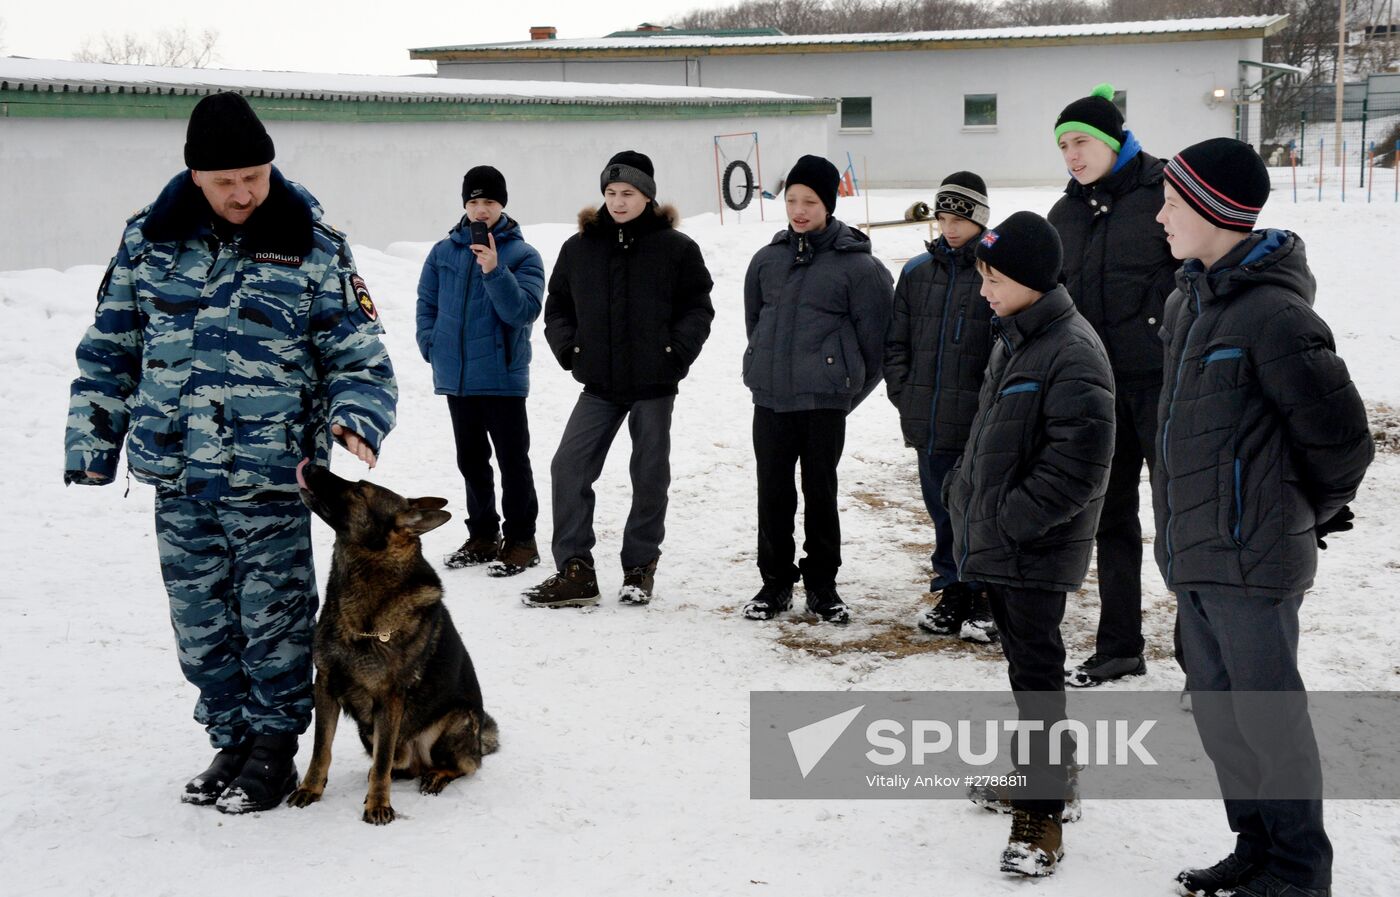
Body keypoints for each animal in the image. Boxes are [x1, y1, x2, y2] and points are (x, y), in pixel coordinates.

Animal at [287, 464, 501, 822]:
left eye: (360, 490)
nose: (312, 465)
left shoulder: (390, 699)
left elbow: (383, 759)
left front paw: (378, 804)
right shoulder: (326, 685)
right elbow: (321, 749)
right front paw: (311, 788)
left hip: (456, 722)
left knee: (462, 765)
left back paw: (437, 775)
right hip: (368, 731)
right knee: (399, 764)